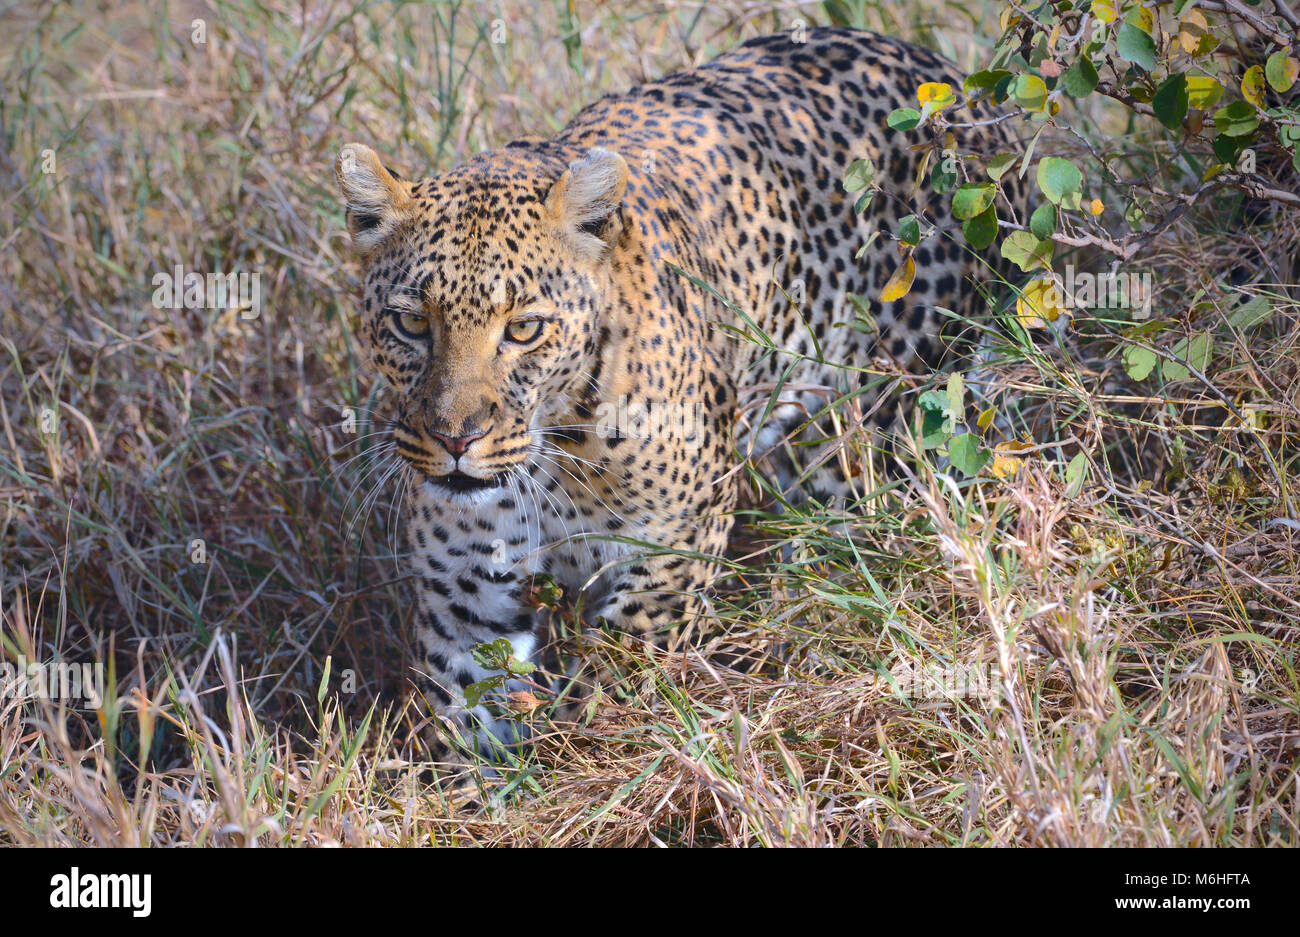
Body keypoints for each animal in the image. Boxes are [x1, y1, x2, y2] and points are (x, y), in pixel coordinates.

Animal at [335, 25, 1024, 758]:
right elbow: (466, 730)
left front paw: (590, 753)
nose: (454, 437)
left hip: (898, 418)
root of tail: (947, 75)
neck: (551, 454)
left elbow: (619, 672)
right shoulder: (466, 596)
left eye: (523, 328)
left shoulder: (678, 539)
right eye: (412, 323)